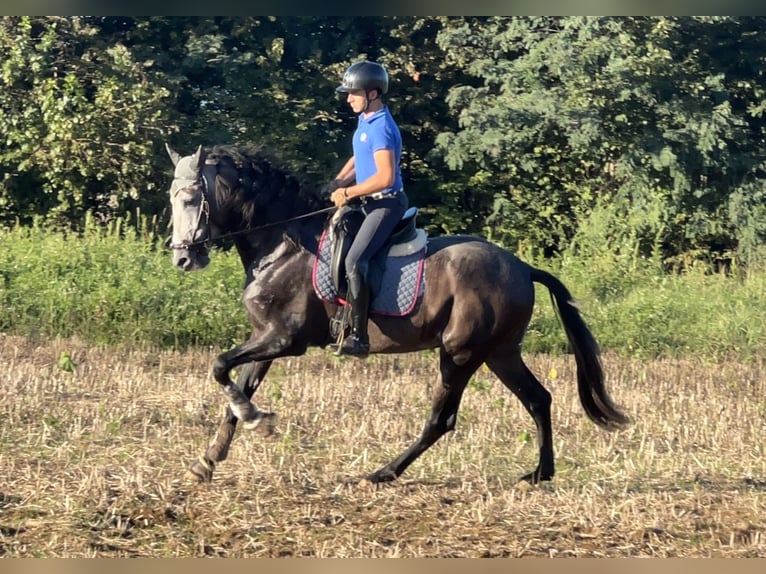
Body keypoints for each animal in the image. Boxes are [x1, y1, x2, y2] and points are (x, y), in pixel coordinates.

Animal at [165, 143, 629, 486]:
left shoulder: (284, 339)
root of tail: (522, 267)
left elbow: (219, 366)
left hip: (461, 353)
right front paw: (211, 458)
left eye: (189, 198)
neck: (282, 243)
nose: (183, 259)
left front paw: (256, 422)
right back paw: (540, 473)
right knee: (538, 399)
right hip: (500, 353)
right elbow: (235, 390)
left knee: (442, 419)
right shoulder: (266, 338)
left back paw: (383, 473)